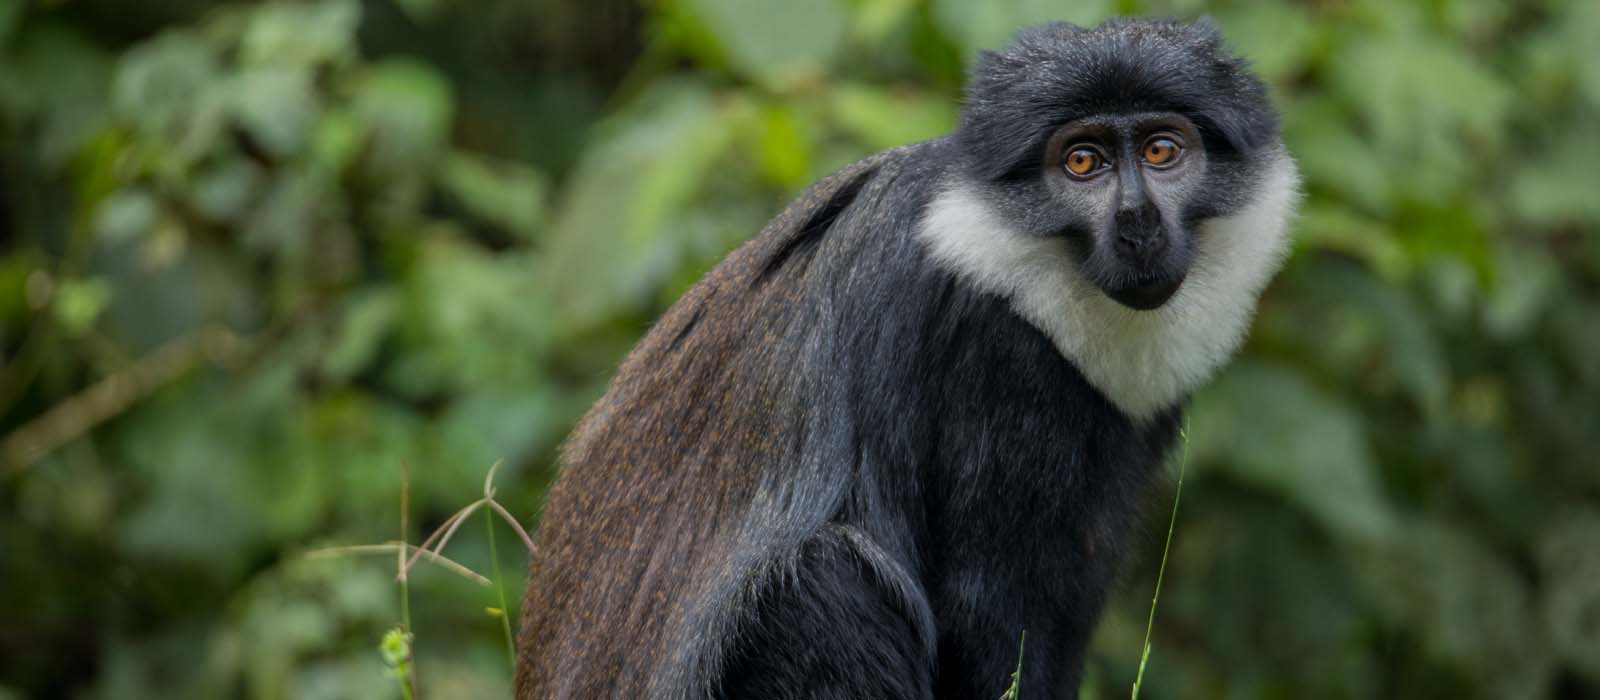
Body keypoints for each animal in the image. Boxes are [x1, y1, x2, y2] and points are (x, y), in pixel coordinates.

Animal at [518, 16, 1292, 700]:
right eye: (1082, 162)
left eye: (1162, 151)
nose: (1137, 220)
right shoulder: (993, 345)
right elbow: (986, 613)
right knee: (824, 581)